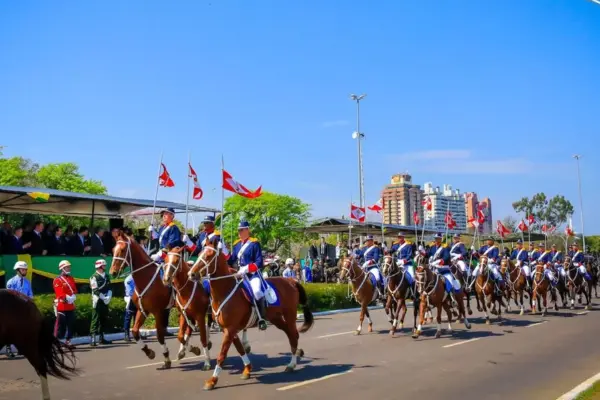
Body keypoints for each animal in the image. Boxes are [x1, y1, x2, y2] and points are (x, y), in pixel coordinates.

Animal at [108, 233, 192, 370]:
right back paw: (182, 351)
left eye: (122, 250)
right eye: (113, 249)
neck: (146, 278)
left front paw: (166, 358)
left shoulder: (158, 312)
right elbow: (135, 331)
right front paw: (149, 352)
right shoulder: (143, 310)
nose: (113, 272)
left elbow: (159, 335)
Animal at [188, 238, 314, 390]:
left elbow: (222, 355)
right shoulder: (228, 329)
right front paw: (247, 369)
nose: (191, 274)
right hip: (277, 319)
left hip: (290, 316)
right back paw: (293, 360)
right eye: (200, 253)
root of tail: (291, 281)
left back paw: (292, 364)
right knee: (290, 334)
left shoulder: (230, 329)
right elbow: (240, 348)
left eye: (208, 256)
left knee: (293, 336)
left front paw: (212, 380)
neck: (225, 290)